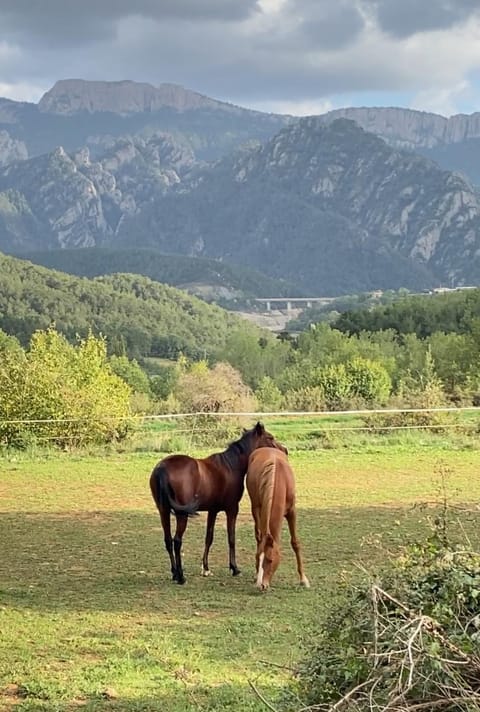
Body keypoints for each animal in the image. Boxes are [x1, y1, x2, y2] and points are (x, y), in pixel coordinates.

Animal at [148, 420, 286, 580]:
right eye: (270, 437)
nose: (285, 450)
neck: (230, 466)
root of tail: (162, 468)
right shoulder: (232, 509)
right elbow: (231, 538)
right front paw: (234, 568)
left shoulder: (213, 510)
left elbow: (209, 537)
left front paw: (206, 568)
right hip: (181, 515)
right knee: (177, 541)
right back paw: (181, 576)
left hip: (163, 511)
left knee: (168, 540)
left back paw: (174, 573)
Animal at [246, 448, 310, 592]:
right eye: (257, 557)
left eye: (270, 560)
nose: (261, 585)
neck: (280, 480)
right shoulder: (260, 508)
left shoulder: (292, 512)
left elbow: (295, 543)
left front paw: (303, 579)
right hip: (255, 508)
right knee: (258, 535)